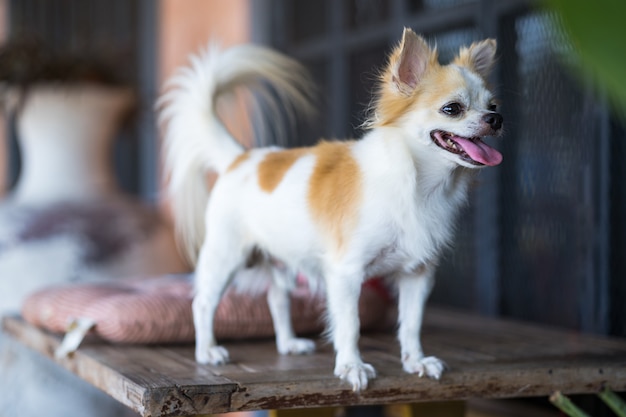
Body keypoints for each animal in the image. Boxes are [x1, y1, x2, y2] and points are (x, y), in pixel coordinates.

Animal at [161, 28, 502, 390]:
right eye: (452, 108)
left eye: (493, 105)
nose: (496, 119)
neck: (417, 185)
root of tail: (240, 157)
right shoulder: (346, 273)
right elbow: (350, 324)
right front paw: (352, 366)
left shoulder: (417, 274)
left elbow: (411, 323)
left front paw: (415, 361)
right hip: (226, 256)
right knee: (203, 303)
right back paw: (207, 351)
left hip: (281, 260)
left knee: (277, 300)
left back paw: (288, 343)